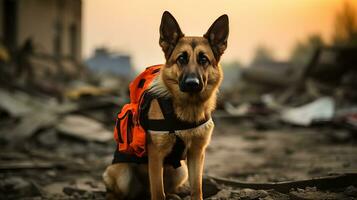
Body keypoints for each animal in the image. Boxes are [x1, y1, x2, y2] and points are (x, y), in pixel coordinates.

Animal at [102, 11, 228, 200]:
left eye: (203, 59)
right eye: (181, 58)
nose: (192, 83)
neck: (187, 108)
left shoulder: (197, 153)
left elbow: (196, 189)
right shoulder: (156, 156)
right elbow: (157, 192)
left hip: (181, 171)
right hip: (122, 174)